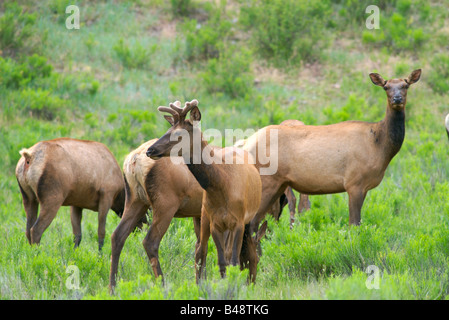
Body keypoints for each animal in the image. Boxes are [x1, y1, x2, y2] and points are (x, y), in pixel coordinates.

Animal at [147, 100, 264, 282]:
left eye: (179, 134)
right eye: (167, 131)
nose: (150, 150)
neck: (222, 187)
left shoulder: (238, 221)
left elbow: (234, 261)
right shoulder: (216, 222)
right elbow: (222, 262)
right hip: (204, 216)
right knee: (201, 249)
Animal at [242, 69, 420, 236]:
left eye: (405, 85)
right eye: (386, 87)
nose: (397, 99)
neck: (379, 147)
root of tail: (247, 143)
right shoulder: (354, 182)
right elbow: (354, 224)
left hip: (279, 184)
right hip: (267, 180)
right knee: (252, 221)